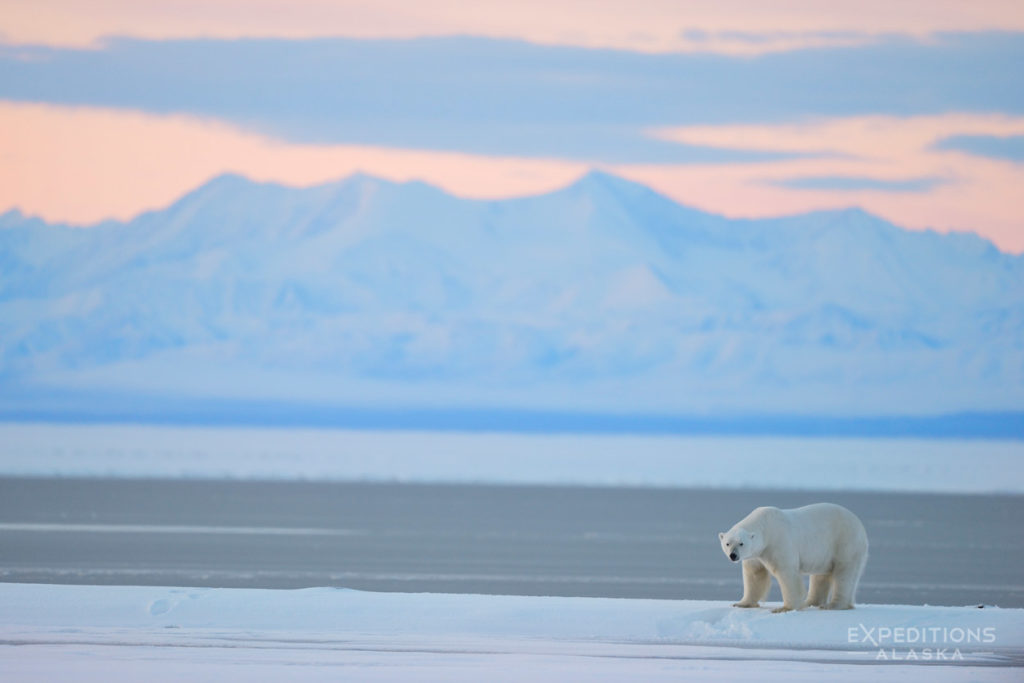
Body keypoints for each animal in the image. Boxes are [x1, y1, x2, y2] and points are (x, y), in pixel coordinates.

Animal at [716, 501, 868, 614]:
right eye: (728, 543)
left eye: (741, 543)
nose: (733, 555)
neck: (766, 526)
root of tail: (860, 525)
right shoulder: (755, 554)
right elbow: (754, 575)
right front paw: (741, 603)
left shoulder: (778, 542)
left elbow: (786, 573)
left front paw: (784, 608)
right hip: (826, 553)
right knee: (820, 576)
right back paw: (810, 602)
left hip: (845, 543)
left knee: (844, 573)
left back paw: (833, 605)